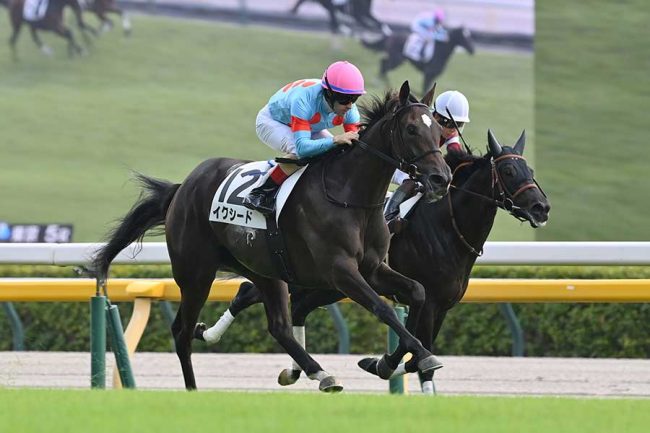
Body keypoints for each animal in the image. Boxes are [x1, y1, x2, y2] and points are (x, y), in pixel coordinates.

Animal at [92, 81, 453, 392]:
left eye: (438, 131)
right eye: (411, 129)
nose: (441, 178)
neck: (352, 196)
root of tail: (183, 188)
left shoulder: (373, 268)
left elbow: (418, 292)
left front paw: (395, 360)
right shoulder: (340, 271)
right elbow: (383, 308)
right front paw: (421, 356)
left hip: (265, 269)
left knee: (277, 325)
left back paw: (320, 373)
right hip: (195, 274)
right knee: (182, 331)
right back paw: (194, 390)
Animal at [195, 129, 550, 394]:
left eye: (531, 171)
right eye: (508, 170)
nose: (540, 207)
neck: (447, 228)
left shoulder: (442, 305)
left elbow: (416, 347)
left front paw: (386, 364)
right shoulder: (430, 301)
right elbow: (415, 346)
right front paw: (385, 364)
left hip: (324, 285)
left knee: (293, 308)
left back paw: (293, 369)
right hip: (316, 279)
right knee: (250, 293)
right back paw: (211, 335)